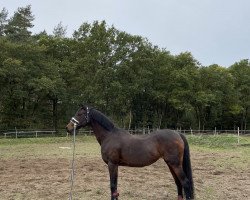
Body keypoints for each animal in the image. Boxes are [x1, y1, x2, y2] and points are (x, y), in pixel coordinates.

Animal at [65, 105, 194, 199]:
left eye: (79, 114)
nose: (68, 127)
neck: (109, 135)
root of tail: (177, 133)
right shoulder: (115, 165)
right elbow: (115, 187)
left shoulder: (112, 164)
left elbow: (112, 186)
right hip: (171, 164)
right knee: (178, 183)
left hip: (175, 164)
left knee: (185, 183)